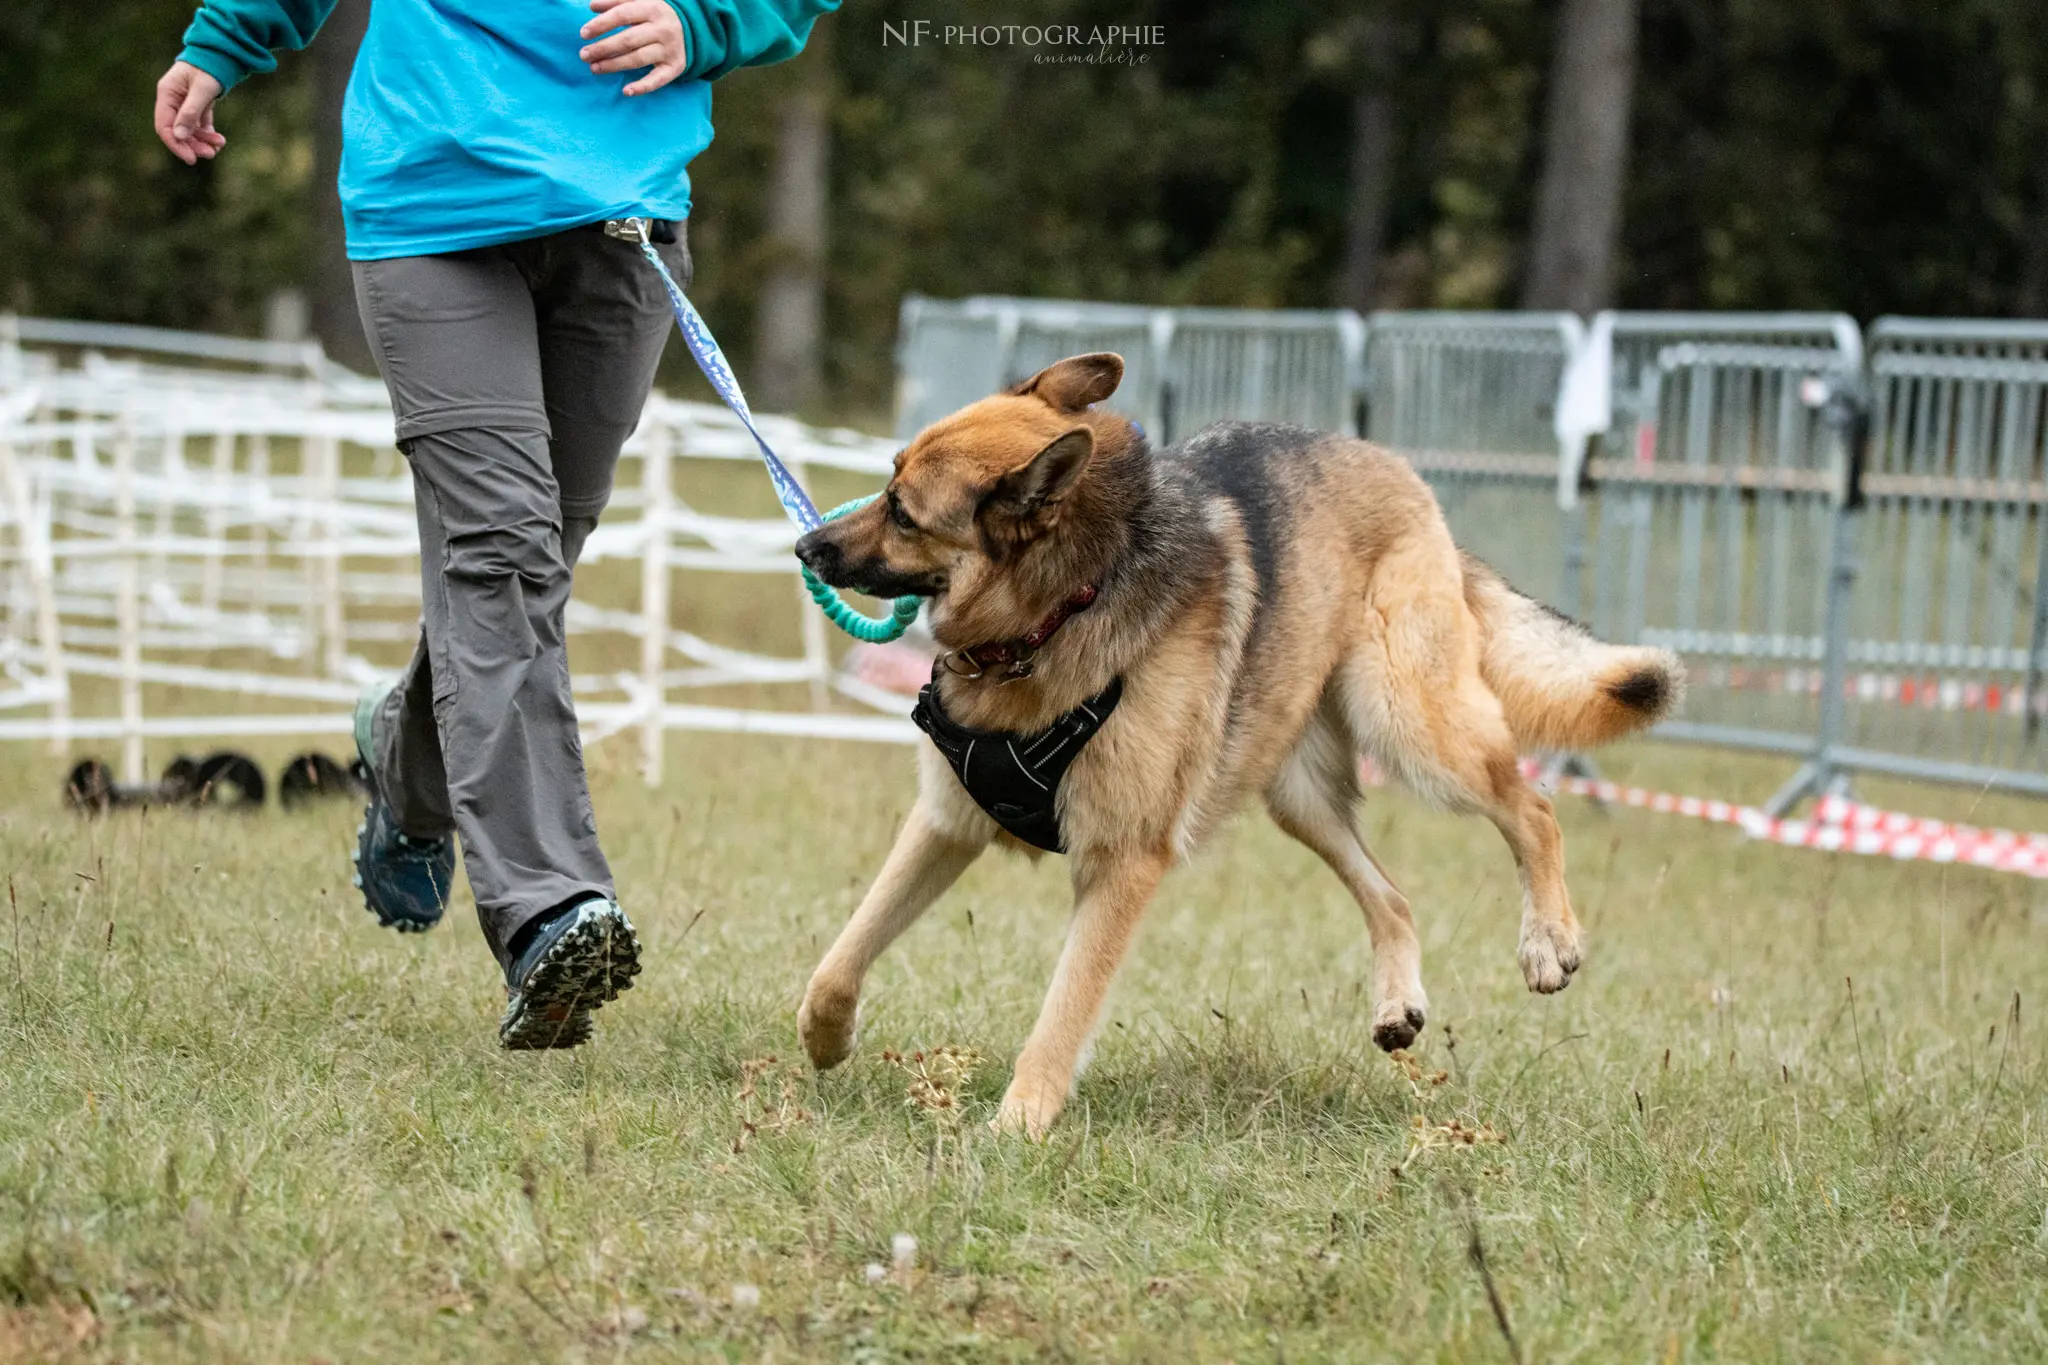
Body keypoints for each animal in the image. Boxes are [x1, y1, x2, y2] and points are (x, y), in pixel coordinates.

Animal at [786, 356, 1679, 1146]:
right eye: (888, 478)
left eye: (902, 511)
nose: (805, 548)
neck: (1066, 606)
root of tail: (1393, 468)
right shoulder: (946, 824)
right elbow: (839, 959)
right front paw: (828, 1039)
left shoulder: (1123, 864)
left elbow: (1062, 1012)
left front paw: (1019, 1126)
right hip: (1299, 795)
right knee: (1393, 897)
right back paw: (1398, 1002)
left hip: (1415, 729)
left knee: (1532, 805)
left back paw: (1548, 941)